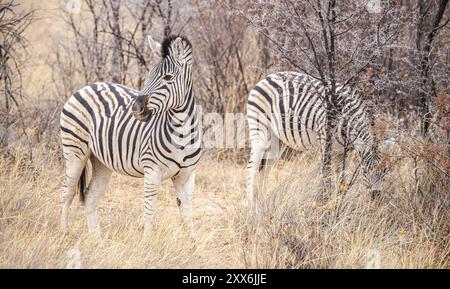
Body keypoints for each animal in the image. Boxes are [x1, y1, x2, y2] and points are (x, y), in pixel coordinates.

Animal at [60, 35, 201, 236]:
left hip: (101, 161)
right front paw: (147, 241)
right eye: (149, 74)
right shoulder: (152, 172)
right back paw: (64, 232)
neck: (181, 134)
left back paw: (96, 238)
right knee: (67, 191)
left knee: (90, 196)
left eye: (168, 77)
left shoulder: (187, 176)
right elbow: (150, 212)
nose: (136, 109)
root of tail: (87, 86)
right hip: (74, 151)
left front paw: (192, 241)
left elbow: (187, 213)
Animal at [246, 71, 386, 204]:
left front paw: (337, 201)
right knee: (252, 168)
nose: (377, 198)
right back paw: (251, 205)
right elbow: (326, 173)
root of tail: (266, 77)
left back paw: (263, 203)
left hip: (276, 140)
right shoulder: (324, 140)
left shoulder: (340, 151)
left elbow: (339, 176)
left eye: (385, 172)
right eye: (366, 172)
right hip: (260, 130)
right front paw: (325, 201)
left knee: (264, 170)